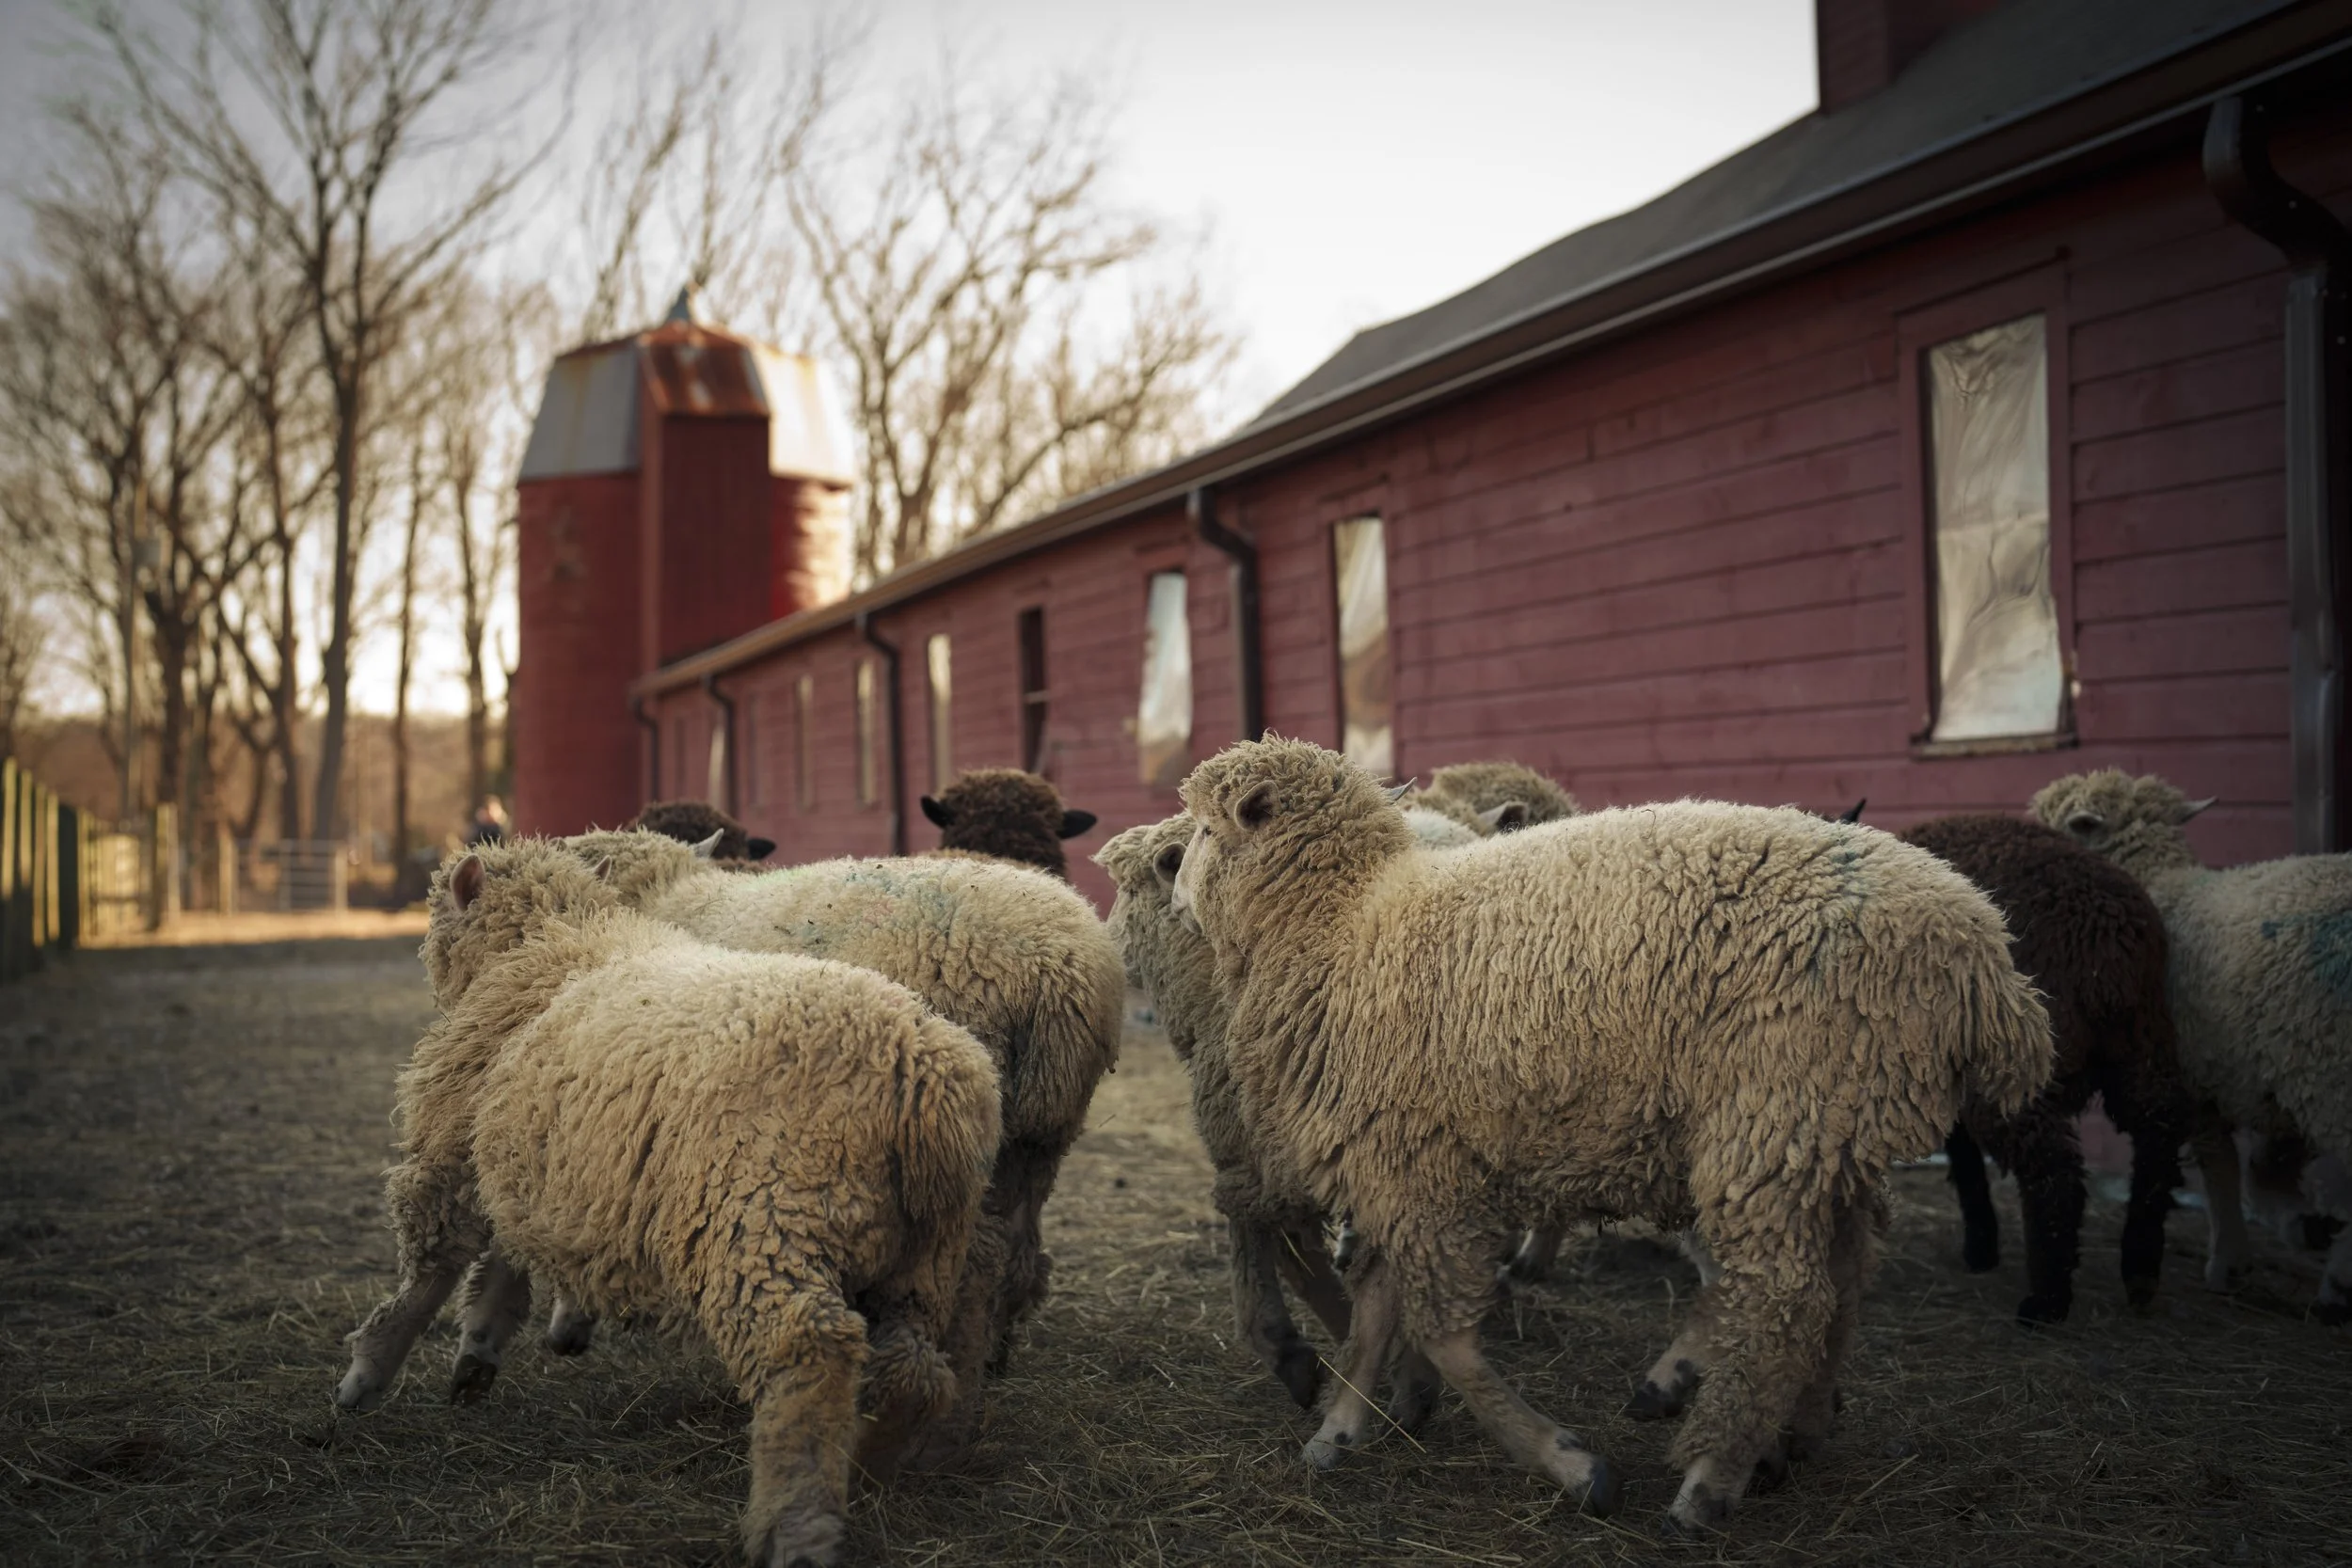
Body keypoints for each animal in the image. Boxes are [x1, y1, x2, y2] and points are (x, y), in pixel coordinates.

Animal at [335, 842, 999, 1568]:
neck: (552, 944)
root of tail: (927, 1081)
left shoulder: (453, 1153)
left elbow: (429, 1275)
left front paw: (366, 1375)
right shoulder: (528, 1160)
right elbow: (506, 1262)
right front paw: (477, 1349)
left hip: (764, 1221)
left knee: (809, 1348)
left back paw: (795, 1524)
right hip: (926, 1255)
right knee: (913, 1368)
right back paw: (871, 1463)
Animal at [1171, 737, 2053, 1531]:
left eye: (1208, 830)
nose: (1175, 885)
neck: (1343, 919)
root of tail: (1986, 960)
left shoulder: (1412, 1166)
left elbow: (1438, 1328)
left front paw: (1570, 1462)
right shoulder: (1401, 1162)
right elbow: (1380, 1307)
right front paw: (1343, 1424)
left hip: (1774, 1114)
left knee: (1783, 1301)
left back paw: (1709, 1476)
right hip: (1832, 1134)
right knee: (1841, 1281)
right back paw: (1796, 1431)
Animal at [1882, 813, 2194, 1325]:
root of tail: (2106, 946)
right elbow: (1963, 1153)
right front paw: (1982, 1247)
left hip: (2020, 1066)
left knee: (2055, 1170)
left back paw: (2047, 1301)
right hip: (2145, 1044)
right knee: (2159, 1133)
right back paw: (2140, 1269)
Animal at [2030, 769, 2352, 1322]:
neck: (2165, 885)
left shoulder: (2197, 1075)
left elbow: (2220, 1166)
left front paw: (2230, 1263)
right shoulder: (2279, 1077)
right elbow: (2265, 1169)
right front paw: (2301, 1225)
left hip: (2334, 1076)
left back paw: (2339, 1284)